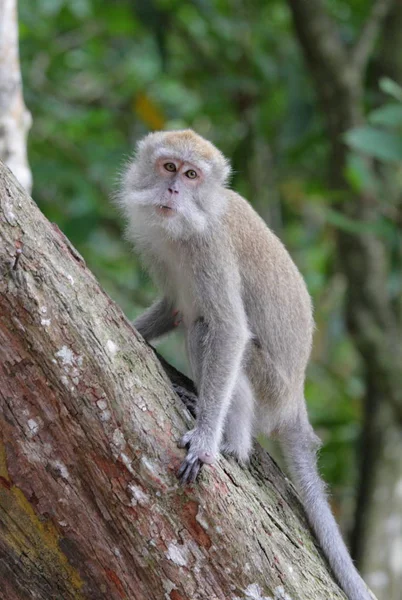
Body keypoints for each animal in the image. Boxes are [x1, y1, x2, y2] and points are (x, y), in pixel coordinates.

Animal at [116, 129, 370, 600]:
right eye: (169, 167)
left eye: (192, 175)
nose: (173, 190)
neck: (190, 223)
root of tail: (294, 400)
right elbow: (175, 307)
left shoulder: (210, 249)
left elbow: (229, 330)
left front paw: (205, 443)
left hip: (269, 385)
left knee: (205, 331)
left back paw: (231, 441)